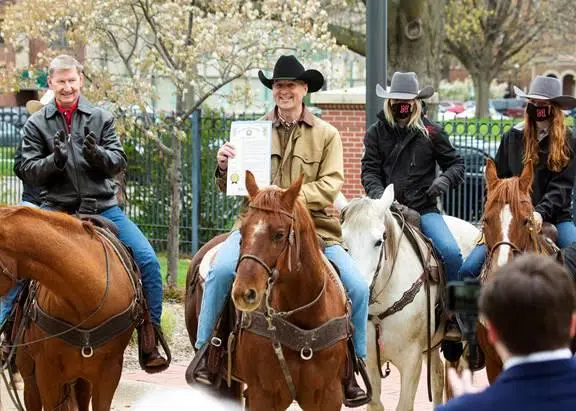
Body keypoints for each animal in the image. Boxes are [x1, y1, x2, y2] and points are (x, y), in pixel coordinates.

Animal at [340, 186, 480, 411]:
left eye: (378, 241)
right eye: (344, 244)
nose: (358, 291)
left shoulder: (411, 361)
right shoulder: (370, 362)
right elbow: (376, 404)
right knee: (438, 376)